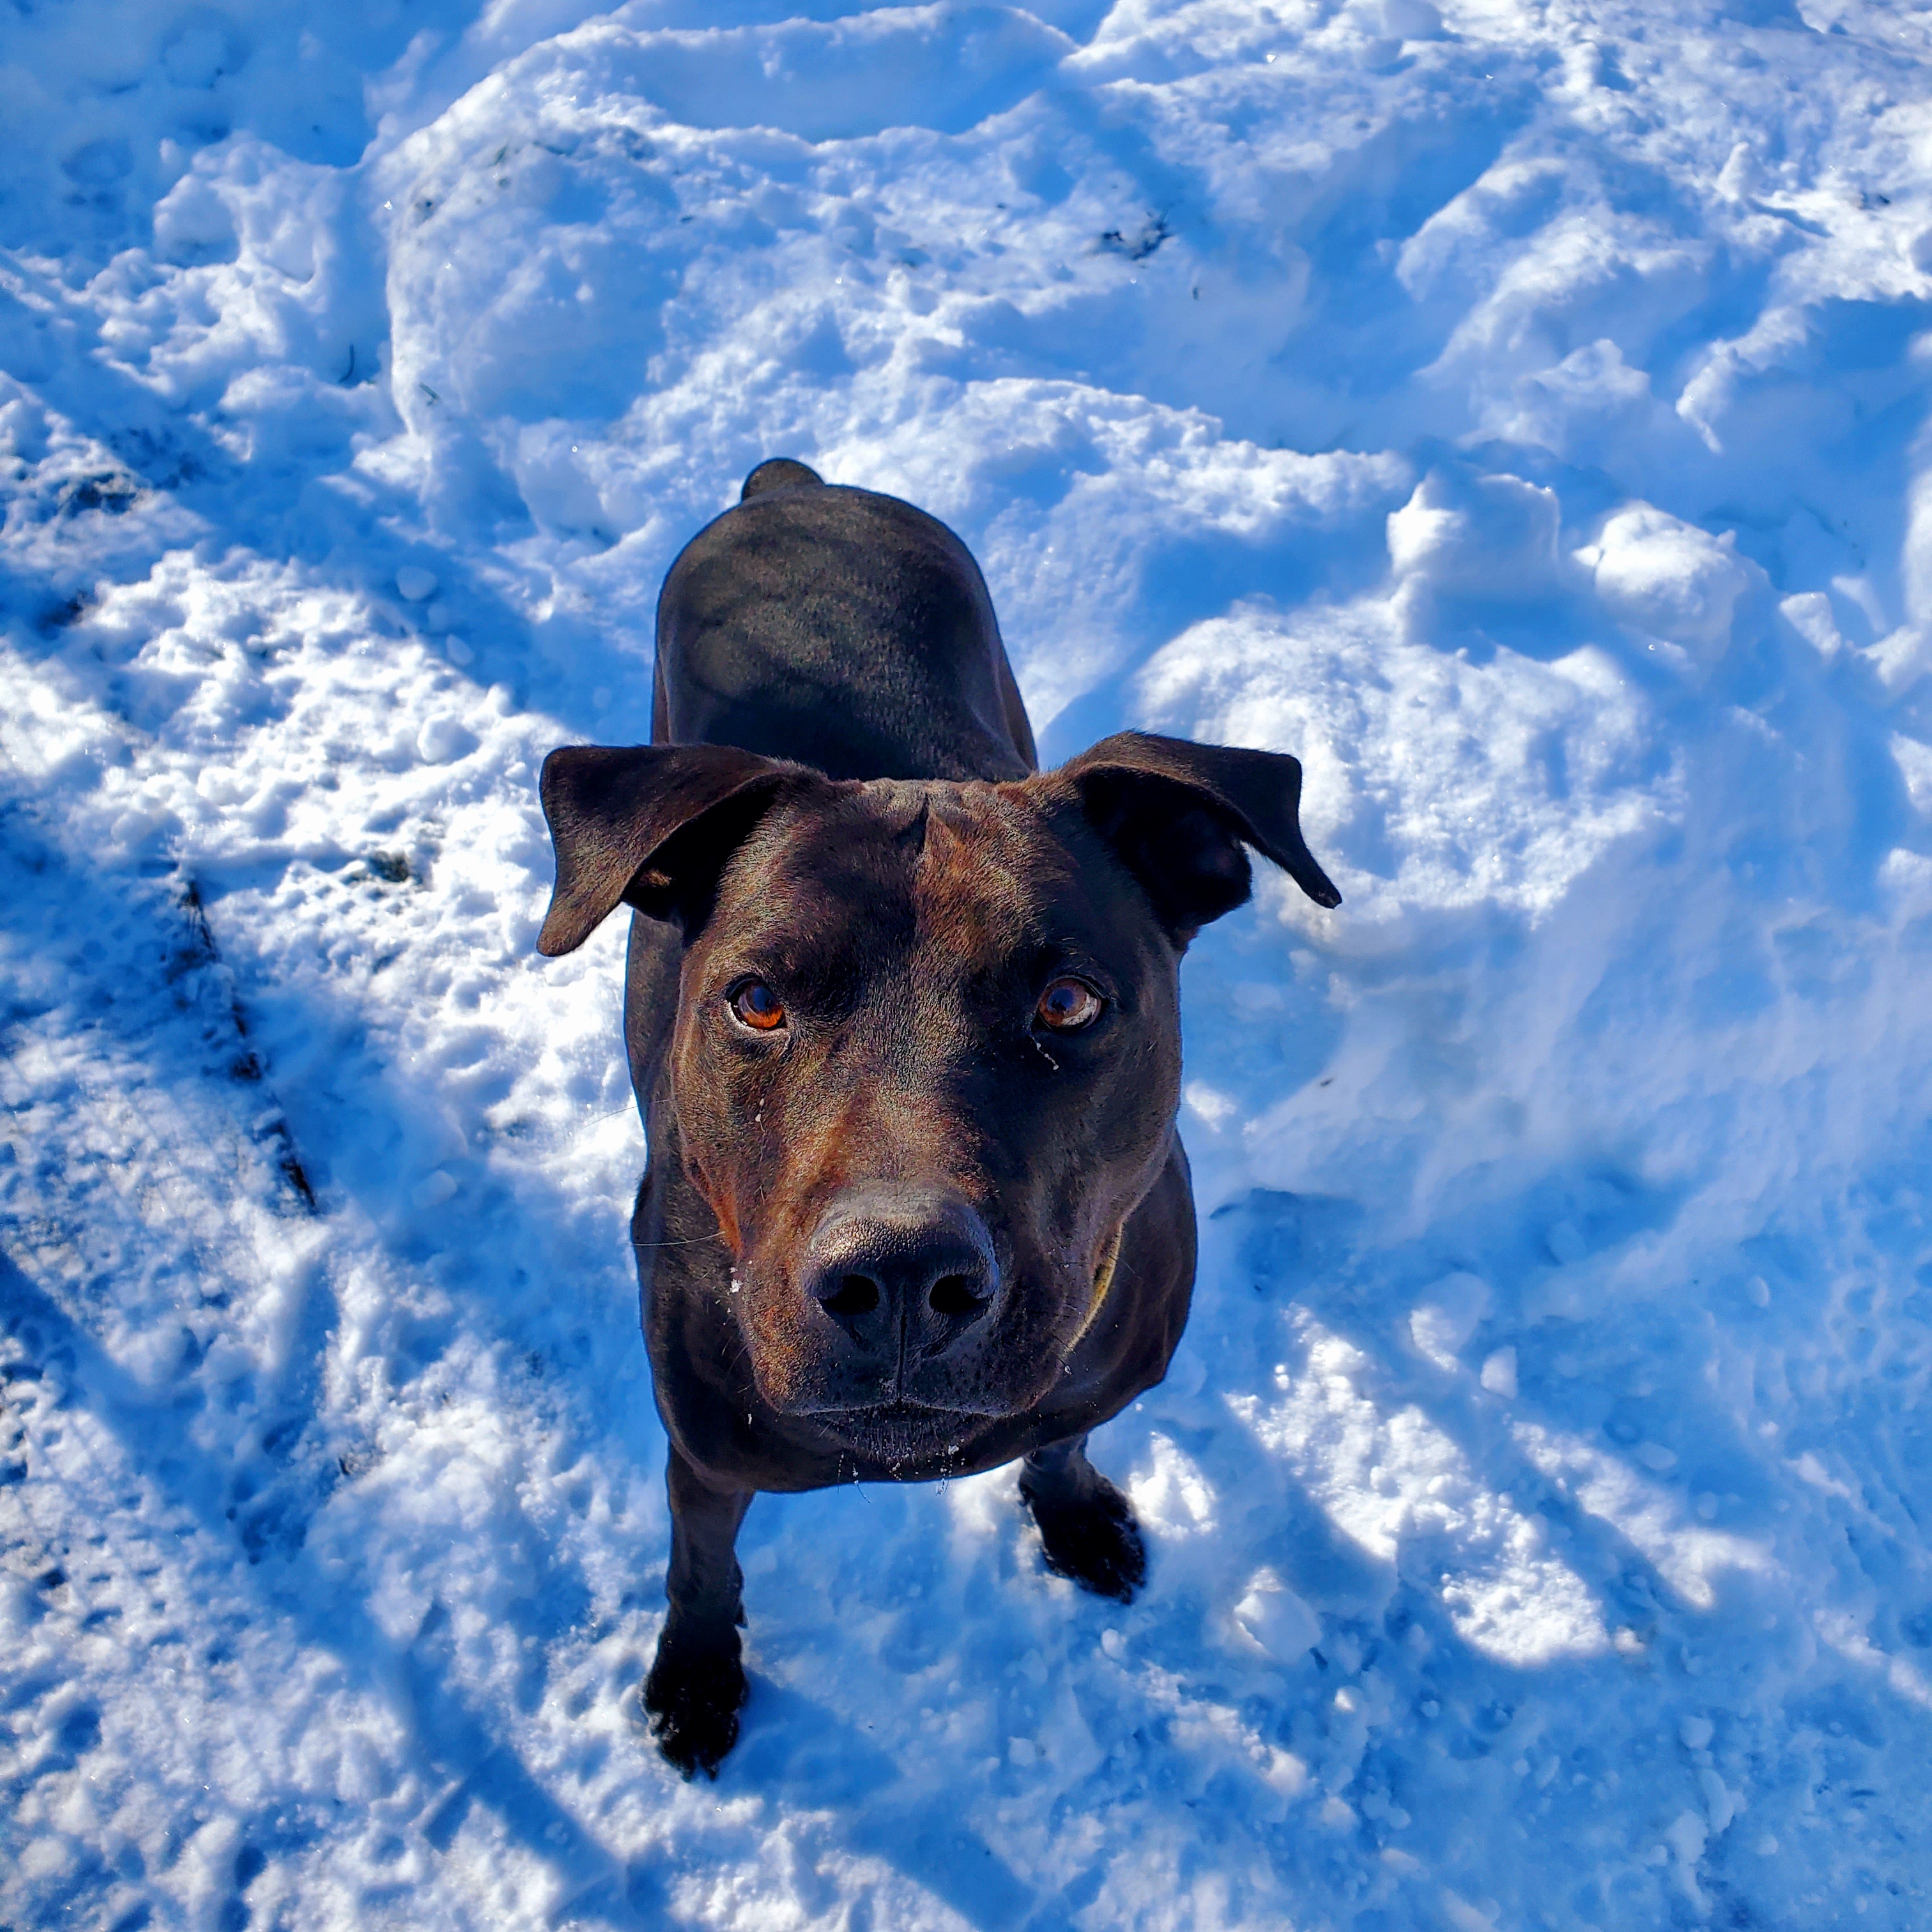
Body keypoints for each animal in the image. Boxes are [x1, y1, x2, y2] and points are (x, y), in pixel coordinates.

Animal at [537, 459, 1337, 1769]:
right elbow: (701, 1567)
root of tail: (795, 487)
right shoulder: (702, 1454)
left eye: (1068, 1001)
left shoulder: (1093, 1379)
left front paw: (1074, 1517)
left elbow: (1063, 1437)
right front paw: (697, 1677)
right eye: (755, 1000)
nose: (902, 1277)